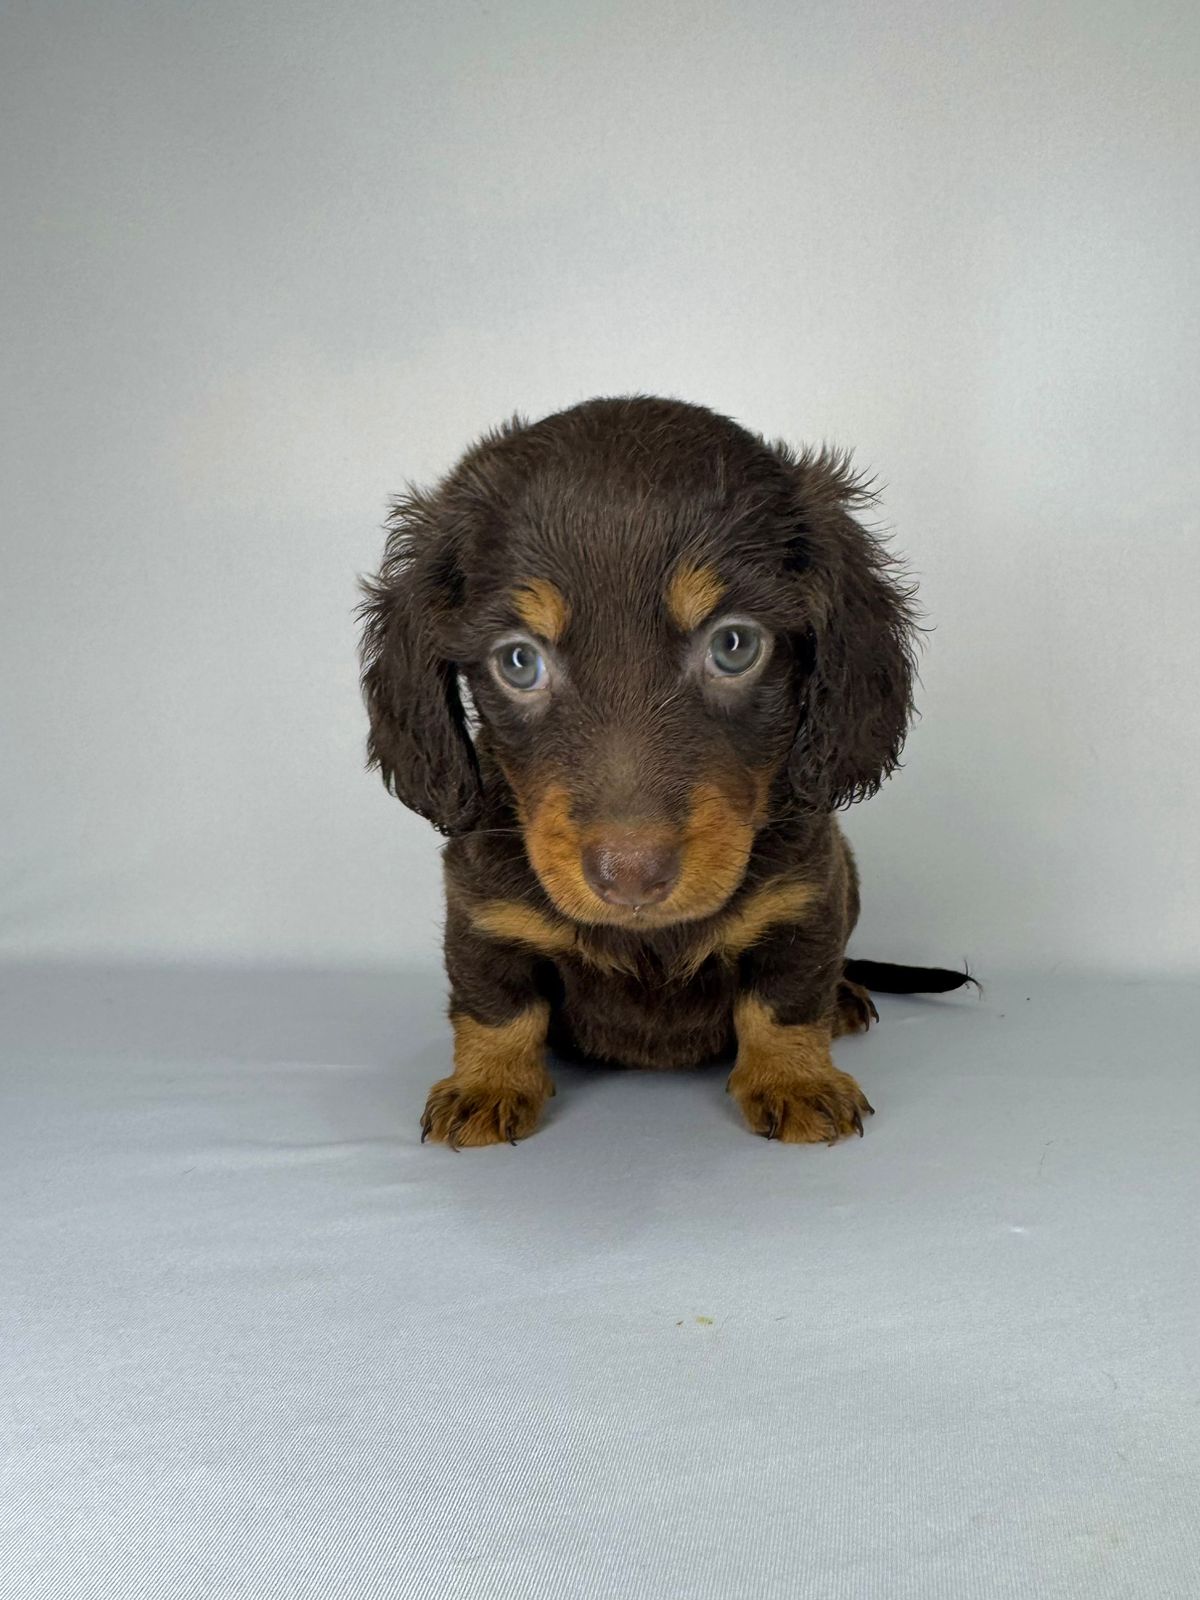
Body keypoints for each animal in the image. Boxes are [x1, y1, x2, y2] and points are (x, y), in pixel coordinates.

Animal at [359, 396, 969, 1148]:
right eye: (518, 661)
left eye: (734, 645)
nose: (631, 877)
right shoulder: (480, 910)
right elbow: (495, 1004)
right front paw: (486, 1084)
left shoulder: (809, 895)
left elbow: (787, 996)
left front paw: (797, 1080)